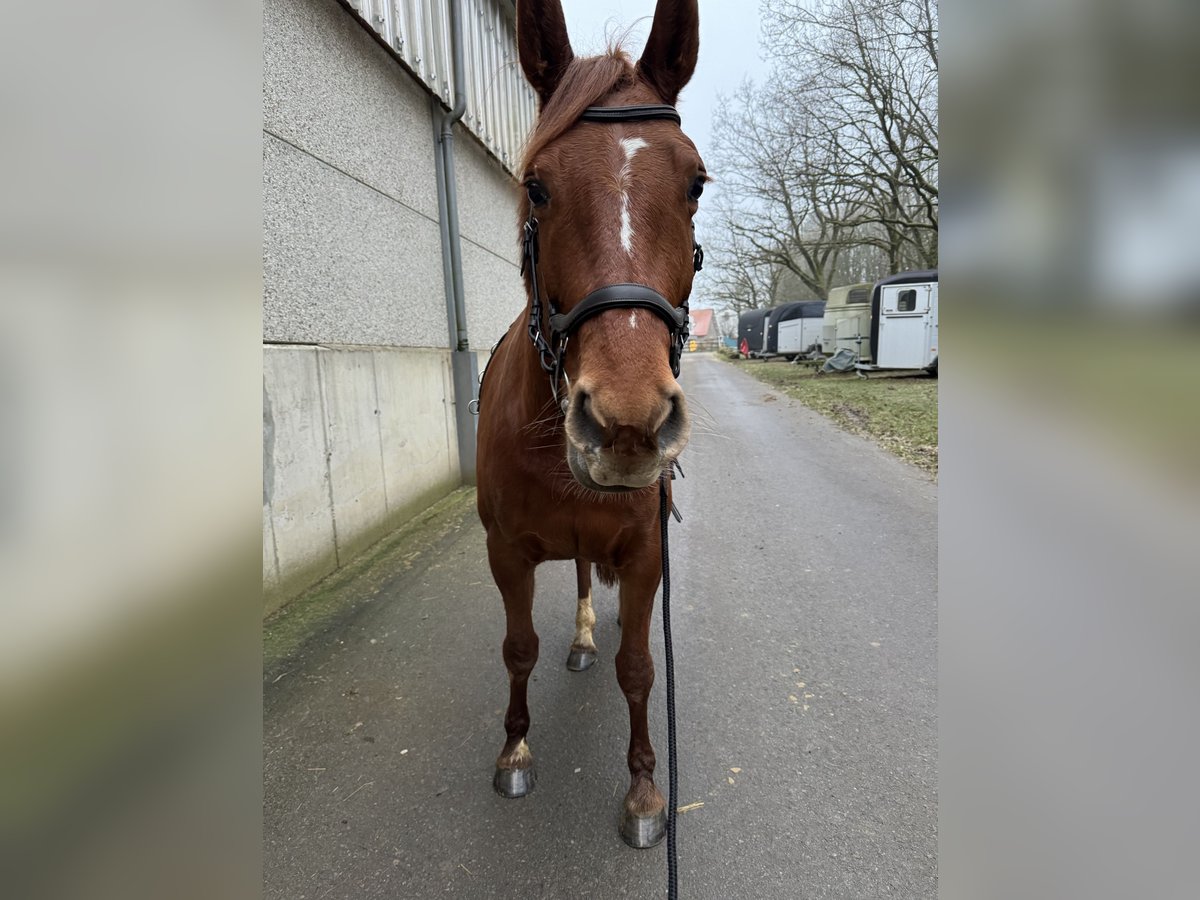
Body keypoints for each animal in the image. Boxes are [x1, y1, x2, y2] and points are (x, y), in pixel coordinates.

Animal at [475, 0, 700, 854]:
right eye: (537, 187)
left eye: (697, 183)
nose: (627, 422)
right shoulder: (505, 551)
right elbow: (517, 648)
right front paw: (514, 748)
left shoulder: (643, 557)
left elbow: (639, 668)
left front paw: (643, 792)